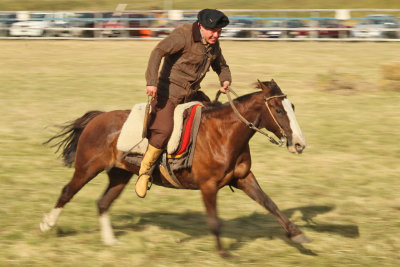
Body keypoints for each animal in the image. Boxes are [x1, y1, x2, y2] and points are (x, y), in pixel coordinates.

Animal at [40, 80, 308, 258]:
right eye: (279, 110)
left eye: (293, 107)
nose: (299, 144)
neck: (224, 134)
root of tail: (97, 118)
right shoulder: (208, 186)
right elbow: (214, 222)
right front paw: (223, 253)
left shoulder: (243, 178)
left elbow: (270, 204)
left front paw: (297, 234)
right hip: (86, 168)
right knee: (67, 192)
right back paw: (47, 225)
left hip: (119, 175)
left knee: (103, 203)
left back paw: (110, 241)